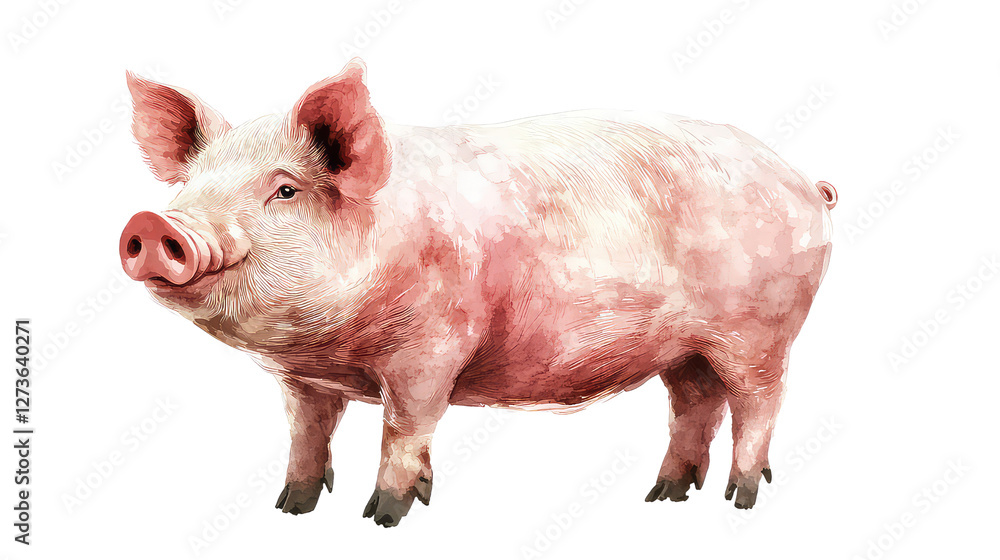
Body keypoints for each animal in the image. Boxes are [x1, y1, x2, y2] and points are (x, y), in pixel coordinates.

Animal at [119, 58, 836, 527]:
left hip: (760, 332)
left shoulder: (432, 348)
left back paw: (739, 498)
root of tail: (807, 182)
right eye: (189, 185)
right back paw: (665, 496)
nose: (154, 224)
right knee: (695, 404)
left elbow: (404, 427)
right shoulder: (304, 380)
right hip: (685, 347)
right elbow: (307, 434)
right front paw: (291, 509)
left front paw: (383, 517)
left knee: (759, 404)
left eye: (285, 189)